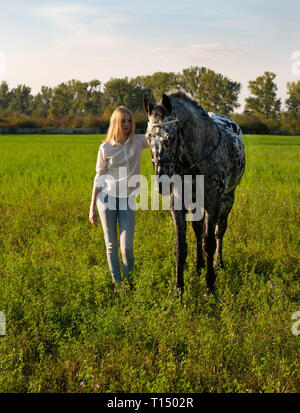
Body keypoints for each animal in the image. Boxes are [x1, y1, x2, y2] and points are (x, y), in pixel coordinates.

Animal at [144, 91, 246, 292]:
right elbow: (180, 246)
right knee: (198, 230)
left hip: (228, 199)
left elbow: (210, 243)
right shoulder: (177, 202)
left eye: (171, 137)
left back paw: (218, 263)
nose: (162, 183)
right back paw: (199, 265)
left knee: (219, 231)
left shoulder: (213, 201)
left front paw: (210, 285)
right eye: (147, 138)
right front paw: (178, 288)